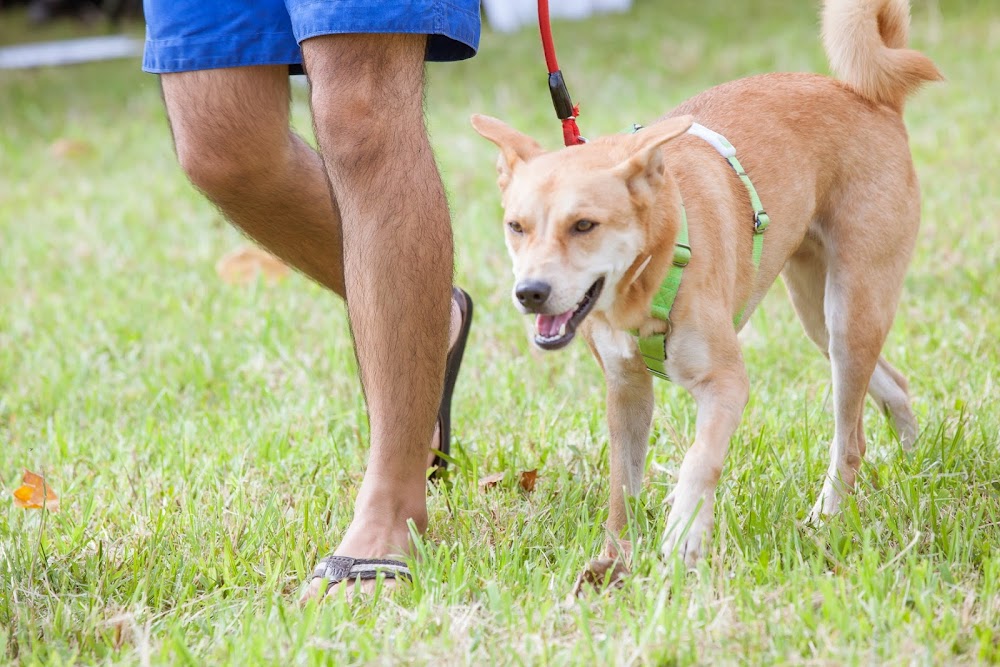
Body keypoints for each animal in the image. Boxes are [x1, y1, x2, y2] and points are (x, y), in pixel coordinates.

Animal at [472, 0, 940, 572]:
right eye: (516, 226)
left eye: (584, 225)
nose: (530, 292)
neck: (654, 266)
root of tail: (871, 97)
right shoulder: (625, 390)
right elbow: (622, 485)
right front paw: (615, 561)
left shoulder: (725, 384)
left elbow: (700, 458)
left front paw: (683, 536)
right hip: (820, 318)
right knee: (894, 384)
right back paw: (917, 464)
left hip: (851, 311)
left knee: (850, 441)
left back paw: (826, 514)